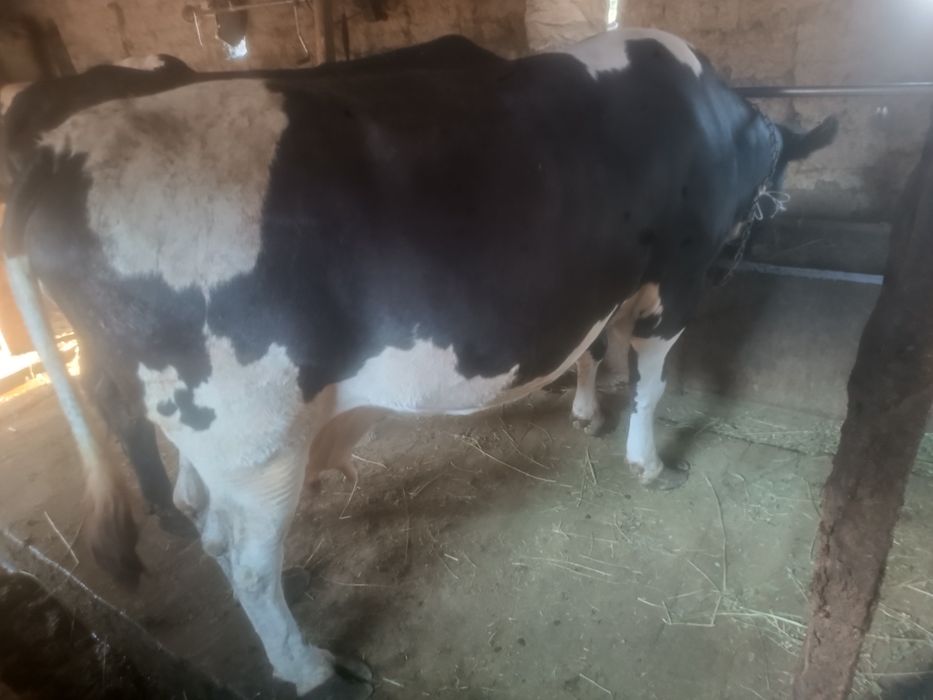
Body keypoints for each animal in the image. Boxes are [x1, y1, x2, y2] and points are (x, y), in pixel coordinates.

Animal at [2, 29, 835, 697]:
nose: (771, 222)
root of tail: (55, 153)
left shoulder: (603, 282)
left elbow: (596, 348)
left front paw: (586, 411)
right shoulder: (680, 269)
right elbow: (653, 380)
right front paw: (648, 458)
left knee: (210, 523)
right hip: (251, 434)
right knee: (242, 556)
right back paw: (309, 667)